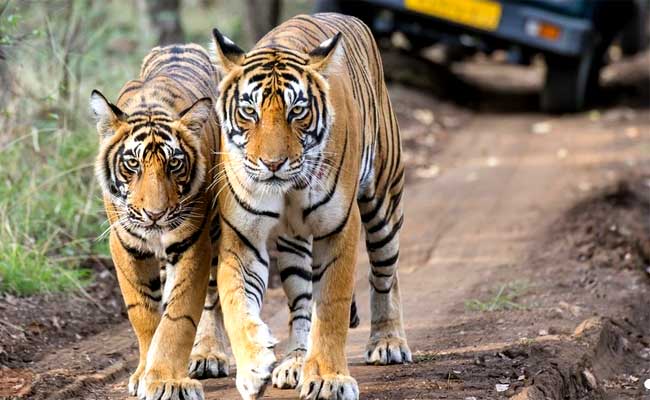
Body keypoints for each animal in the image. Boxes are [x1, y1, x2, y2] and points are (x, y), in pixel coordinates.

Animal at [91, 44, 229, 400]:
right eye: (132, 164)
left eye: (174, 165)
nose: (155, 214)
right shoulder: (125, 245)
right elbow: (144, 312)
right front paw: (145, 374)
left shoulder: (193, 243)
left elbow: (179, 316)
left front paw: (167, 379)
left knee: (211, 297)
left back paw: (208, 354)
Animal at [210, 13, 411, 400]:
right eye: (249, 112)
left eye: (297, 111)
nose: (272, 163)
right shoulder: (242, 238)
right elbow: (235, 302)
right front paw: (255, 366)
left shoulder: (338, 228)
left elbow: (331, 307)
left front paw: (329, 379)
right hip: (292, 244)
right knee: (302, 305)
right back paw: (295, 362)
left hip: (383, 203)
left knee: (385, 275)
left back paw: (388, 342)